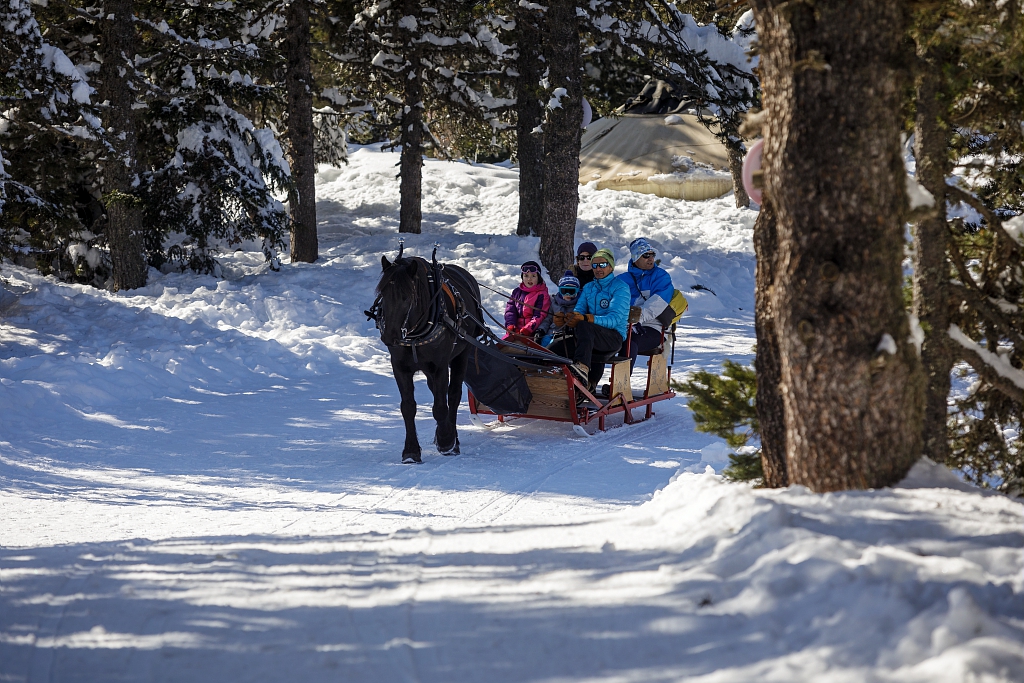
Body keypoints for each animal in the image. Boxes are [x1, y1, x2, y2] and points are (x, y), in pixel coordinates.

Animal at [374, 254, 481, 464]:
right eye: (382, 294)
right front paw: (411, 451)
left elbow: (440, 406)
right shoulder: (399, 366)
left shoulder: (440, 366)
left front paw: (447, 441)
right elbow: (408, 407)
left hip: (462, 355)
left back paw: (452, 438)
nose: (389, 337)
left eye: (408, 297)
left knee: (453, 395)